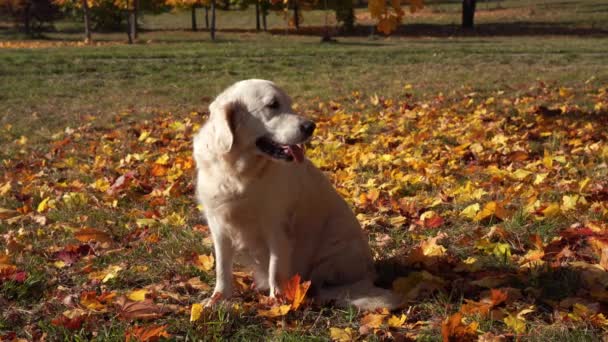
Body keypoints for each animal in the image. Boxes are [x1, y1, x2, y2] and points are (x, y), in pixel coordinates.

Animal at [195, 79, 402, 310]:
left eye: (289, 104)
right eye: (272, 105)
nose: (310, 126)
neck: (239, 172)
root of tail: (370, 272)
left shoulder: (277, 226)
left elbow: (276, 269)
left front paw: (277, 303)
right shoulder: (218, 225)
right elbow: (222, 269)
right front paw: (217, 299)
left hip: (333, 253)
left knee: (323, 285)